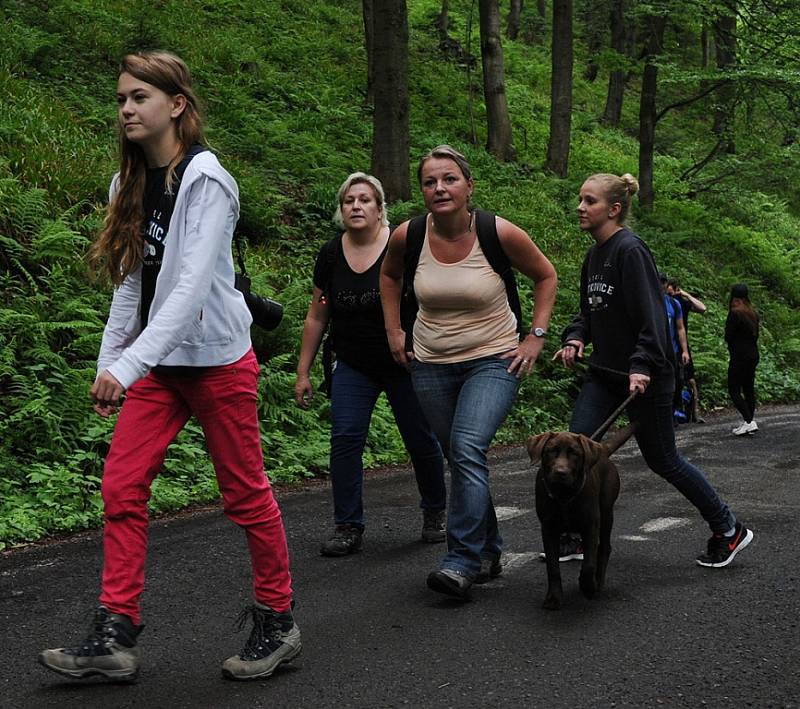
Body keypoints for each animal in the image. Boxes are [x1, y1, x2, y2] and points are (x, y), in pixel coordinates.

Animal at [528, 424, 636, 612]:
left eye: (575, 453)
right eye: (550, 451)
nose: (560, 472)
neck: (563, 495)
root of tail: (602, 449)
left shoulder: (590, 525)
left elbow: (589, 564)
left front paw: (588, 587)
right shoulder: (548, 528)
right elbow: (552, 567)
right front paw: (553, 598)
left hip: (606, 513)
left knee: (604, 548)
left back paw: (598, 583)